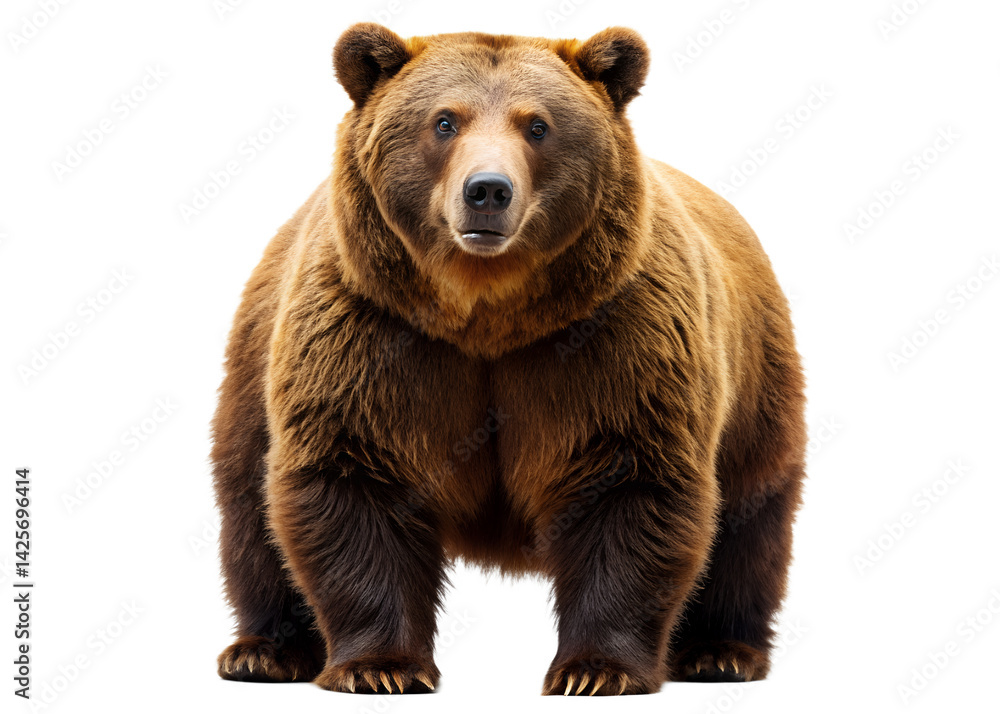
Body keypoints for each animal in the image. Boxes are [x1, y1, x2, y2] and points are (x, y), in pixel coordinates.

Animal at [211, 23, 806, 696]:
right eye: (445, 121)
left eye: (538, 125)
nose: (488, 190)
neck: (487, 311)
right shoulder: (372, 332)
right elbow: (353, 475)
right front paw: (379, 667)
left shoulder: (615, 339)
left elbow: (629, 483)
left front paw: (594, 670)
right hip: (254, 357)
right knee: (248, 501)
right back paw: (262, 652)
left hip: (757, 381)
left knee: (751, 514)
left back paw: (720, 651)